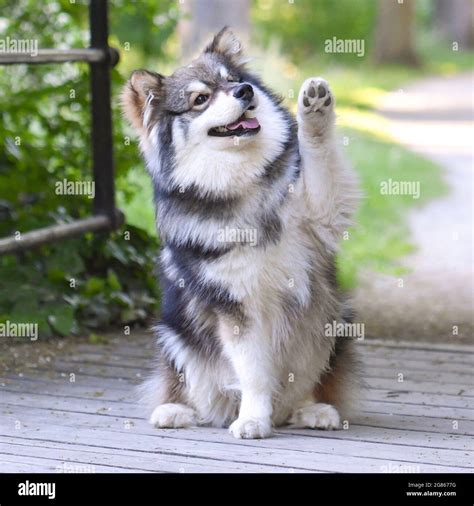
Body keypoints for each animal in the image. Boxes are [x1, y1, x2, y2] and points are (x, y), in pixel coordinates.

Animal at [121, 27, 360, 438]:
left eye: (231, 80)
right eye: (201, 99)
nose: (245, 91)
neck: (243, 183)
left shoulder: (322, 213)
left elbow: (319, 155)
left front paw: (315, 109)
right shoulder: (236, 305)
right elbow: (253, 373)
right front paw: (252, 418)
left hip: (335, 321)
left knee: (307, 386)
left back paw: (313, 410)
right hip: (174, 333)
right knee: (194, 391)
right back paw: (176, 411)